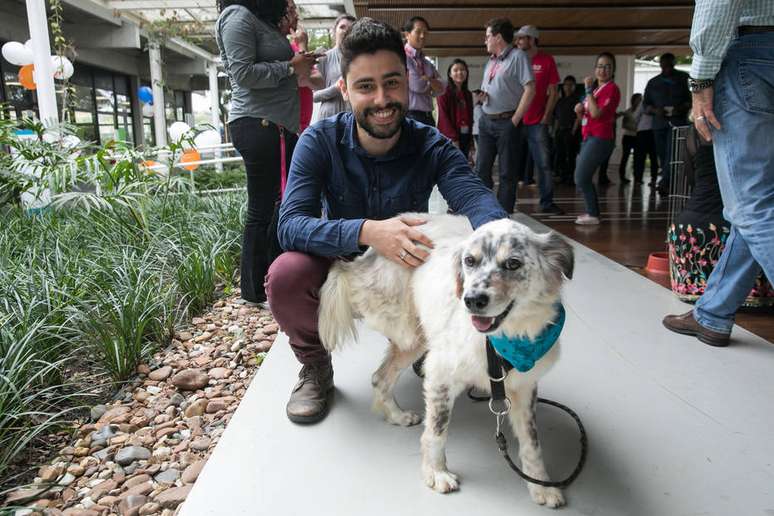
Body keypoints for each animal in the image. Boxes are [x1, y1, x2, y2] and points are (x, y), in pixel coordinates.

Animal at [316, 214, 576, 508]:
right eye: (470, 261)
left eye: (513, 263)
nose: (472, 300)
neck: (502, 338)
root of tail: (365, 256)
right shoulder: (440, 373)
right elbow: (437, 432)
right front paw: (436, 473)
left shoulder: (524, 387)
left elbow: (532, 443)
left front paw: (540, 485)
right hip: (412, 335)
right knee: (382, 374)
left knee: (380, 377)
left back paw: (396, 415)